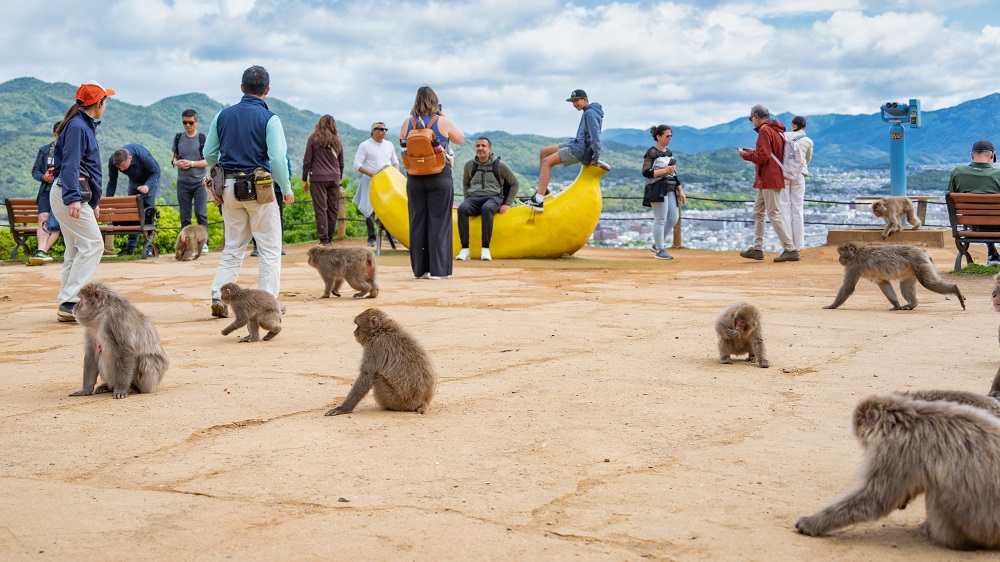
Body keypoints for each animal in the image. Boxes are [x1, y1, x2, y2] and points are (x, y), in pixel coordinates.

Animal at [795, 392, 1000, 549]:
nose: (865, 446)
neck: (906, 417)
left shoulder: (897, 448)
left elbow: (875, 500)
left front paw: (812, 523)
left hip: (972, 530)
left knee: (936, 491)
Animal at [824, 243, 966, 310]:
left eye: (841, 253)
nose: (839, 259)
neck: (856, 253)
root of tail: (923, 251)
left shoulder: (854, 266)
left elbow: (848, 287)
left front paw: (832, 305)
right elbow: (884, 283)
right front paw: (896, 304)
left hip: (919, 263)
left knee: (928, 282)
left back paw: (956, 290)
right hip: (911, 270)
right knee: (905, 286)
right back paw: (912, 304)